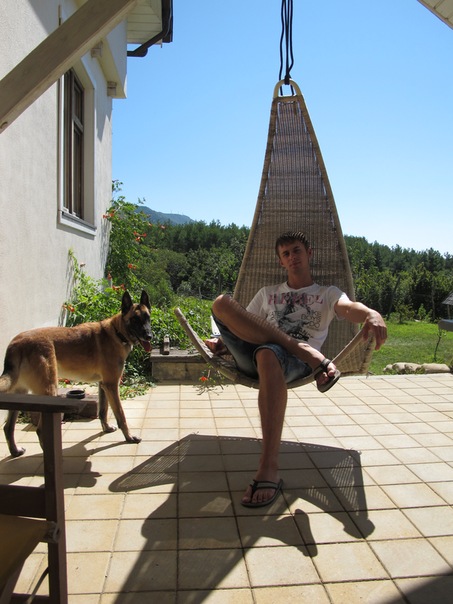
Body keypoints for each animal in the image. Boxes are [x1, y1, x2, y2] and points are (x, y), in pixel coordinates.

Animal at [1, 290, 152, 457]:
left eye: (147, 318)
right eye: (135, 320)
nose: (149, 336)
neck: (117, 332)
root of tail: (16, 343)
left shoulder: (103, 385)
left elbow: (103, 410)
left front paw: (106, 428)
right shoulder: (112, 385)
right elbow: (121, 414)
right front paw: (129, 437)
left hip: (20, 391)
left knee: (8, 427)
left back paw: (15, 451)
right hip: (50, 389)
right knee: (39, 429)